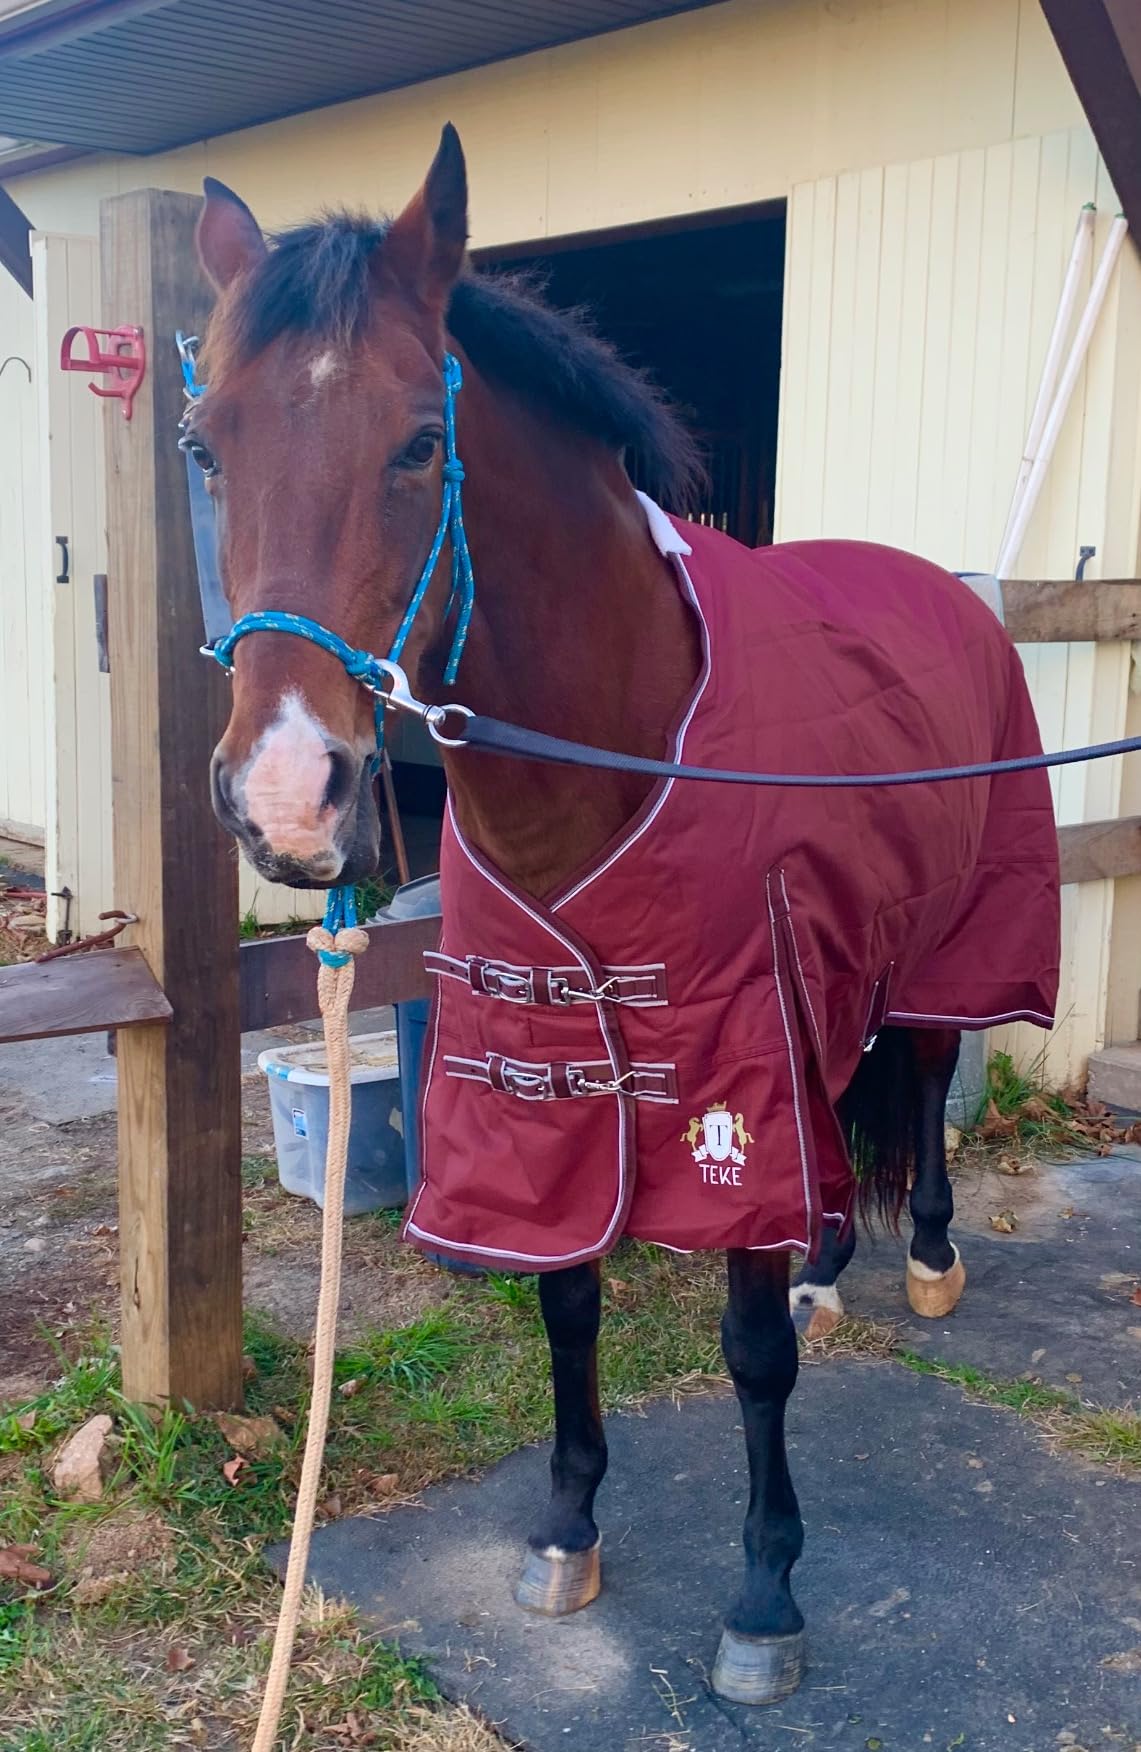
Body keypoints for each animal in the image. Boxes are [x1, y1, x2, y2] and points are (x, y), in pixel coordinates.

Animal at [190, 125, 1060, 1704]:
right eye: (202, 446)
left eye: (419, 443)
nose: (287, 793)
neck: (611, 754)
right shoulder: (549, 1080)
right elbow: (566, 1298)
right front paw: (565, 1528)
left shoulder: (732, 1054)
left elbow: (748, 1349)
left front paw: (765, 1596)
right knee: (846, 1112)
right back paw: (832, 1266)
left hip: (945, 941)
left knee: (917, 1070)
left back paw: (924, 1258)